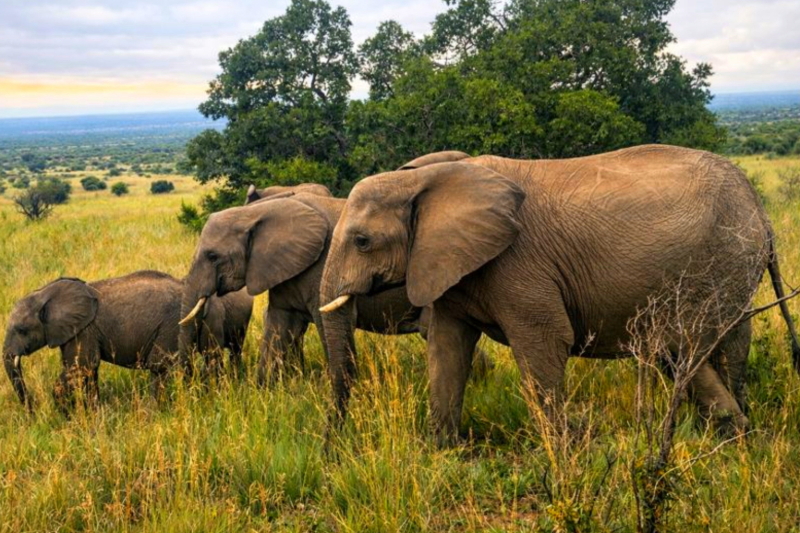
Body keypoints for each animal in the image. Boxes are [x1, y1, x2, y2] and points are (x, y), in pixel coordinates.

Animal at [3, 270, 252, 411]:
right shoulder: (76, 331)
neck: (46, 293)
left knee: (161, 366)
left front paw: (66, 415)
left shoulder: (84, 329)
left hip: (173, 324)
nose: (32, 410)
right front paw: (92, 412)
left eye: (21, 330)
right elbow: (87, 372)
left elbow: (80, 368)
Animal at [319, 145, 800, 443]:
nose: (332, 441)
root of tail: (761, 211)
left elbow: (545, 342)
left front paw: (565, 451)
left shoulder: (519, 264)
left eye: (362, 241)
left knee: (706, 346)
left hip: (725, 263)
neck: (429, 178)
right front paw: (445, 451)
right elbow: (447, 348)